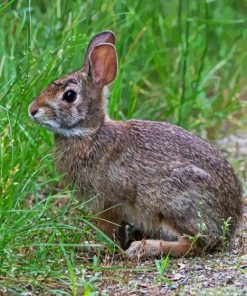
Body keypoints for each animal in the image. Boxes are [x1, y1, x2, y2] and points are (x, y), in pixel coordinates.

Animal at [29, 28, 243, 258]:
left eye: (69, 95)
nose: (32, 110)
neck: (90, 133)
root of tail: (230, 223)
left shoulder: (105, 202)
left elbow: (108, 229)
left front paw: (98, 247)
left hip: (174, 204)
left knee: (195, 244)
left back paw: (144, 247)